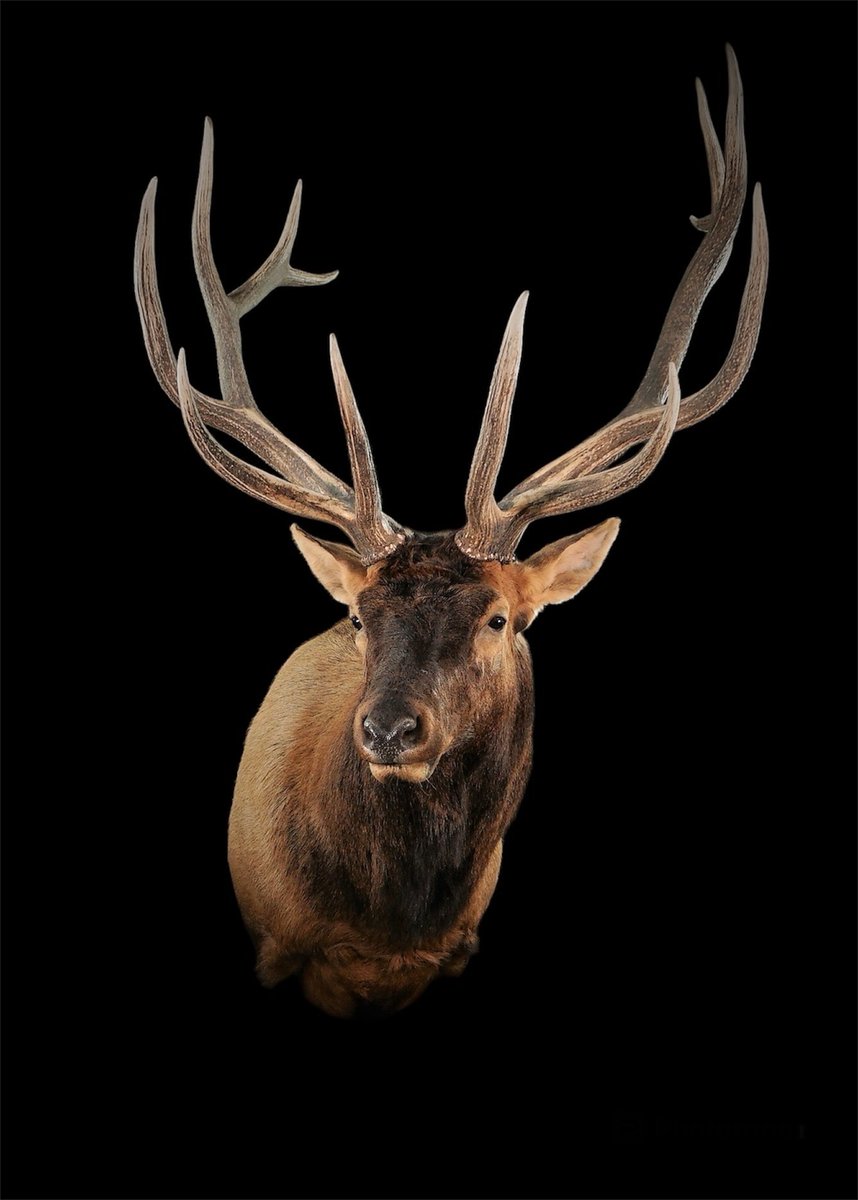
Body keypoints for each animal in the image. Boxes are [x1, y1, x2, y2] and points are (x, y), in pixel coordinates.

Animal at [134, 45, 767, 1017]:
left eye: (499, 618)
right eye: (359, 617)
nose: (391, 730)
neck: (390, 929)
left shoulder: (456, 952)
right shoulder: (280, 942)